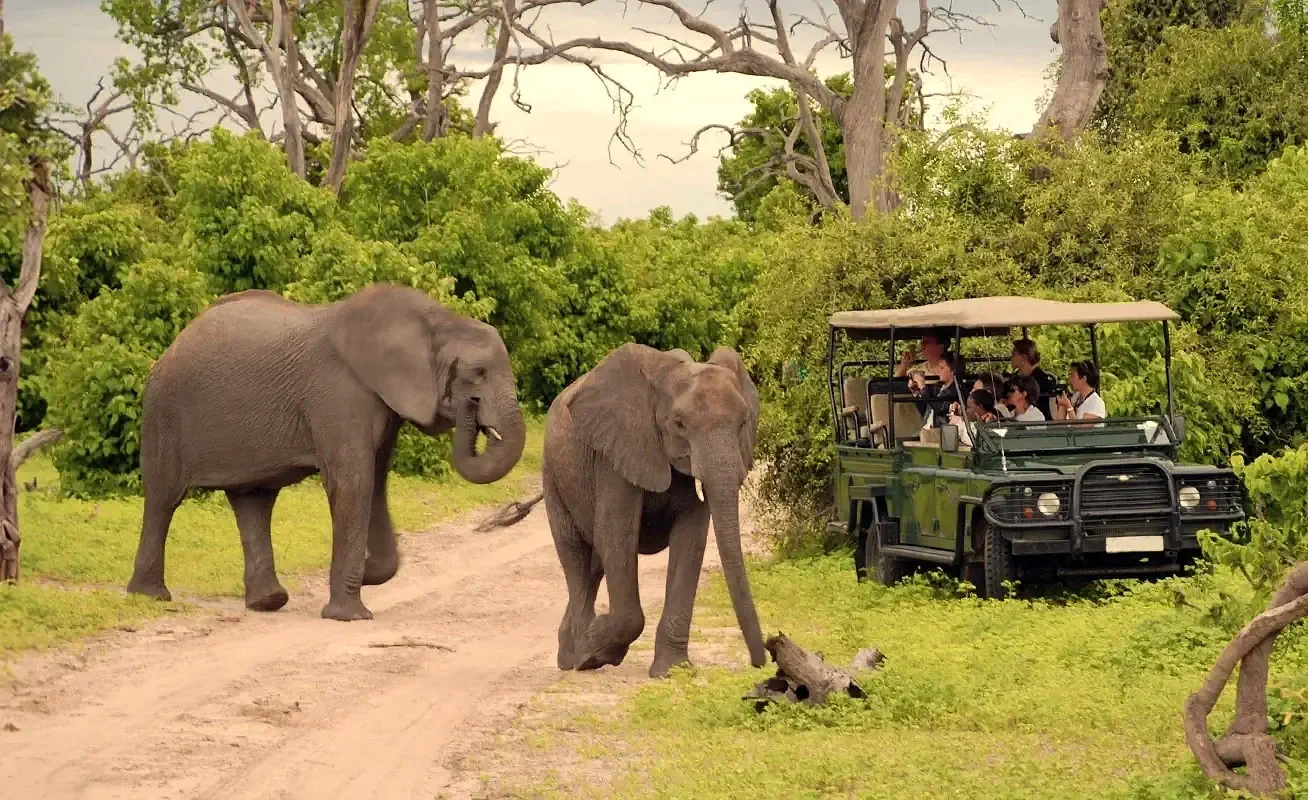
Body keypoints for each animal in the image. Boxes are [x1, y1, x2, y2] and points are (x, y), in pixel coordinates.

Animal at [125, 284, 527, 622]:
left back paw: (268, 602)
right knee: (164, 498)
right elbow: (354, 483)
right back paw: (151, 596)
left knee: (253, 501)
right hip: (164, 411)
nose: (471, 409)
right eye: (478, 373)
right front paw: (350, 615)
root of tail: (174, 343)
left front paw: (365, 575)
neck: (434, 319)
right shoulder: (338, 392)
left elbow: (375, 482)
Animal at [491, 342, 767, 678]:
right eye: (679, 424)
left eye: (743, 423)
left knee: (595, 565)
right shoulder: (614, 454)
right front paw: (595, 652)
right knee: (575, 556)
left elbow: (691, 539)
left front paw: (671, 671)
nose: (760, 661)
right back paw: (576, 658)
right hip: (554, 476)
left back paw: (572, 650)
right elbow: (616, 534)